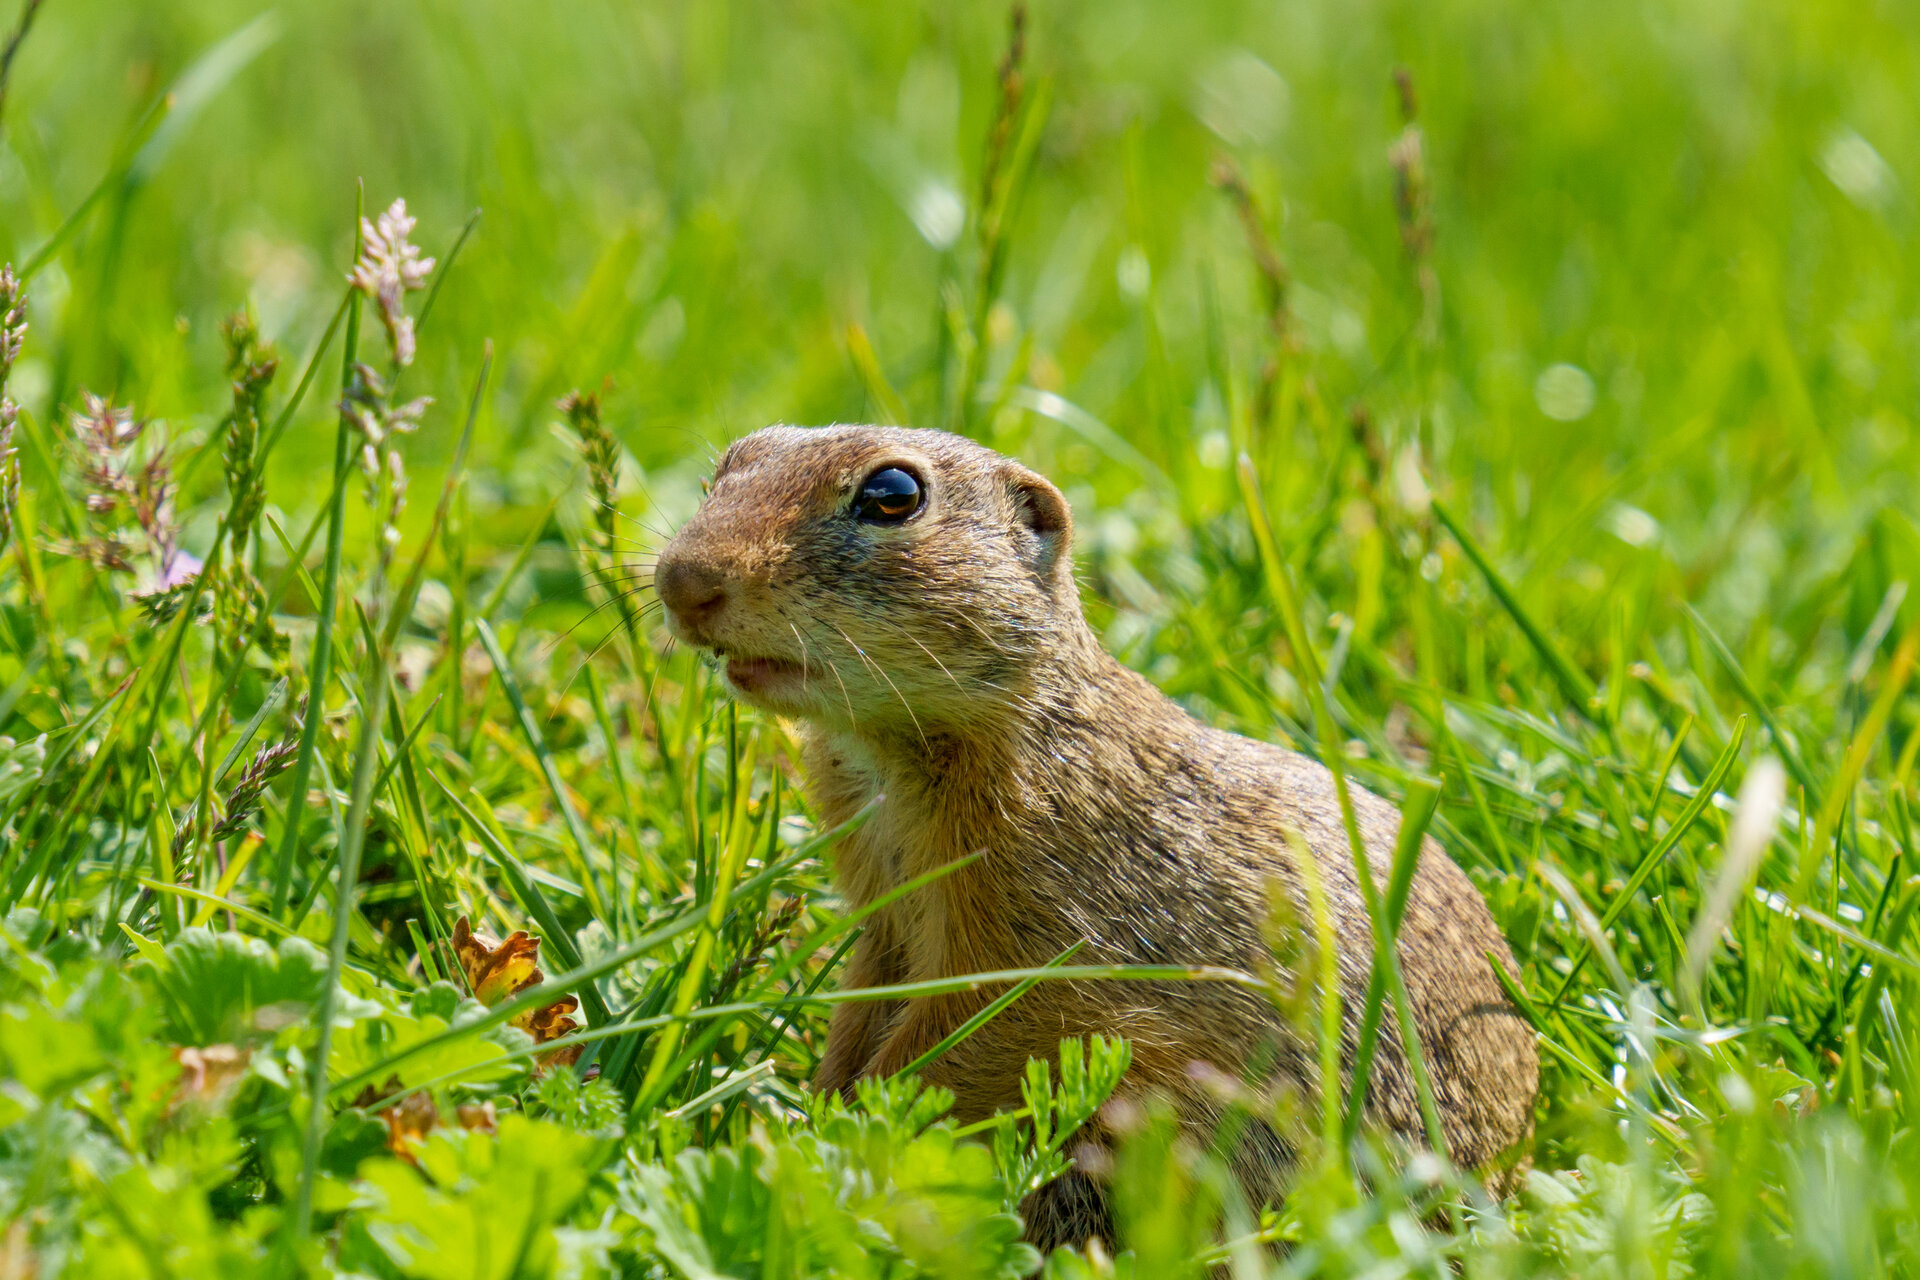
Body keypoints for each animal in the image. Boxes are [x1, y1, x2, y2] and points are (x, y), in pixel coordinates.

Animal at [652, 426, 1536, 1243]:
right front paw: (817, 1115)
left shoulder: (1044, 931)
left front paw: (840, 1140)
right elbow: (864, 1002)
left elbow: (968, 1040)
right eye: (728, 463)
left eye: (894, 494)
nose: (681, 580)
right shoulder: (885, 918)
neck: (894, 749)